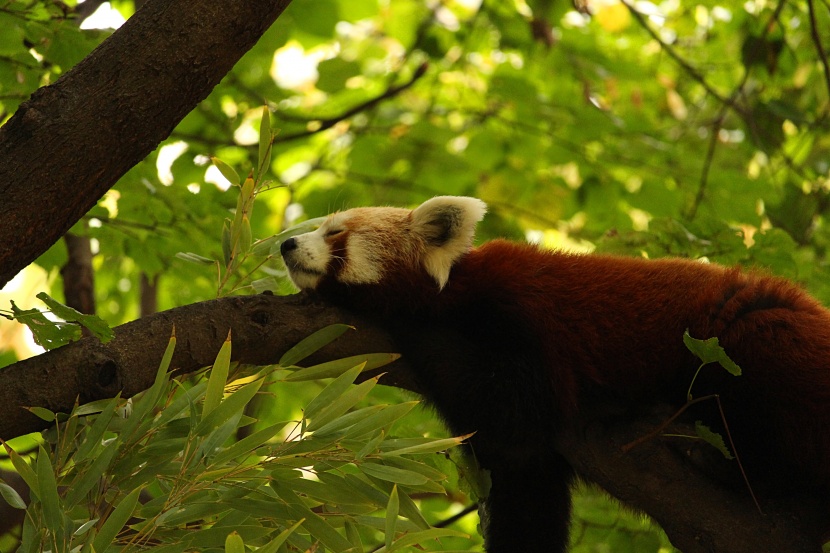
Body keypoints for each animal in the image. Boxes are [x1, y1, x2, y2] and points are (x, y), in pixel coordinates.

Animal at [282, 196, 830, 548]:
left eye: (335, 233)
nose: (286, 244)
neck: (455, 289)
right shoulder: (516, 455)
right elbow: (525, 483)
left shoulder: (522, 314)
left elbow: (517, 400)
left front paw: (404, 320)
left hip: (752, 344)